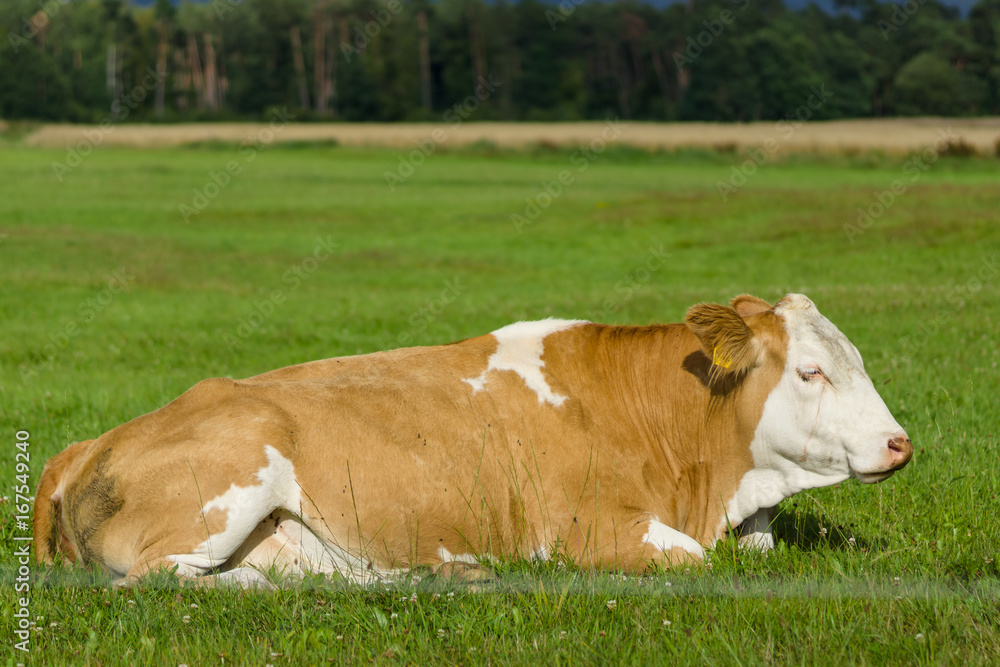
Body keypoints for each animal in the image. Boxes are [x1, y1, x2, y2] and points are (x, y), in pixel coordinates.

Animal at [33, 294, 916, 588]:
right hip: (229, 483)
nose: (899, 443)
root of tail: (85, 445)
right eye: (809, 370)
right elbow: (695, 561)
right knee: (161, 582)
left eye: (856, 357)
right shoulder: (588, 531)